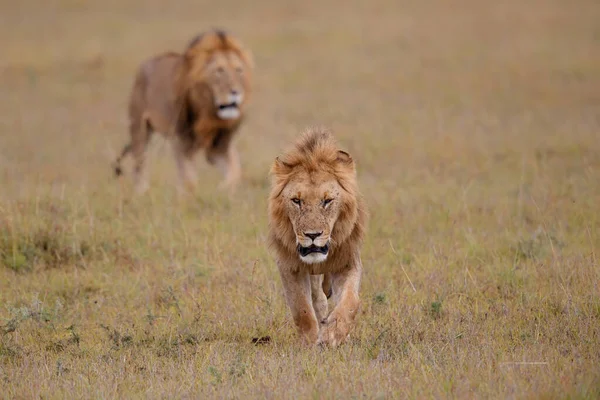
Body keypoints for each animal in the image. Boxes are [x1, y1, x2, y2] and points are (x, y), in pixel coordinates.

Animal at [112, 28, 253, 193]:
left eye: (239, 70)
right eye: (219, 71)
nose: (236, 92)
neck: (208, 113)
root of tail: (145, 64)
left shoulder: (218, 146)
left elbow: (235, 171)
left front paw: (223, 189)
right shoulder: (181, 140)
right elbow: (189, 179)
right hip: (139, 129)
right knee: (140, 163)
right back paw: (142, 192)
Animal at [270, 128, 368, 346]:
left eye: (327, 201)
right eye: (296, 201)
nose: (312, 235)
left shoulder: (347, 260)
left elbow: (350, 301)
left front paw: (333, 335)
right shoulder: (289, 265)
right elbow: (301, 309)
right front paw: (310, 342)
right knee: (318, 299)